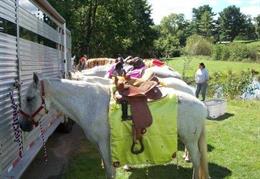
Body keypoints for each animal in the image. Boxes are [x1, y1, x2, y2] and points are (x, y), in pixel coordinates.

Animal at [18, 73, 209, 178]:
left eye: (29, 98)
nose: (23, 125)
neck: (91, 103)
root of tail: (200, 104)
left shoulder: (105, 144)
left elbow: (110, 171)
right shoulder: (101, 146)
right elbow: (108, 170)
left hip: (190, 140)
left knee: (197, 160)